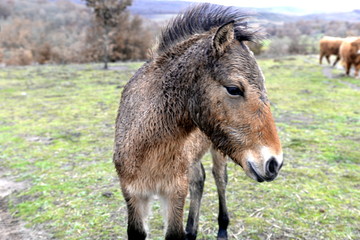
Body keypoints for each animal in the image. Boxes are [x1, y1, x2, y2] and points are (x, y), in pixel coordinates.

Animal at [114, 3, 282, 240]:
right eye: (234, 89)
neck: (147, 148)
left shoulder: (175, 193)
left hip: (217, 151)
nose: (274, 163)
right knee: (199, 179)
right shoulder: (133, 194)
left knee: (219, 179)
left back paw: (222, 228)